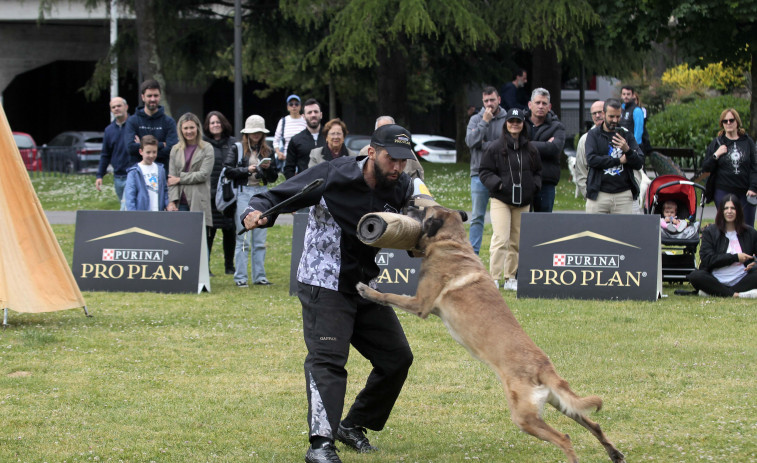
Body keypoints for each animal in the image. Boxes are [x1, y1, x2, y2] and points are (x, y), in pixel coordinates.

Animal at [358, 208, 624, 463]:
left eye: (420, 211)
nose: (405, 205)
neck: (452, 243)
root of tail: (543, 366)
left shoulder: (419, 303)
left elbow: (389, 296)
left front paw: (366, 289)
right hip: (560, 403)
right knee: (594, 424)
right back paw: (615, 454)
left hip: (524, 417)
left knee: (565, 438)